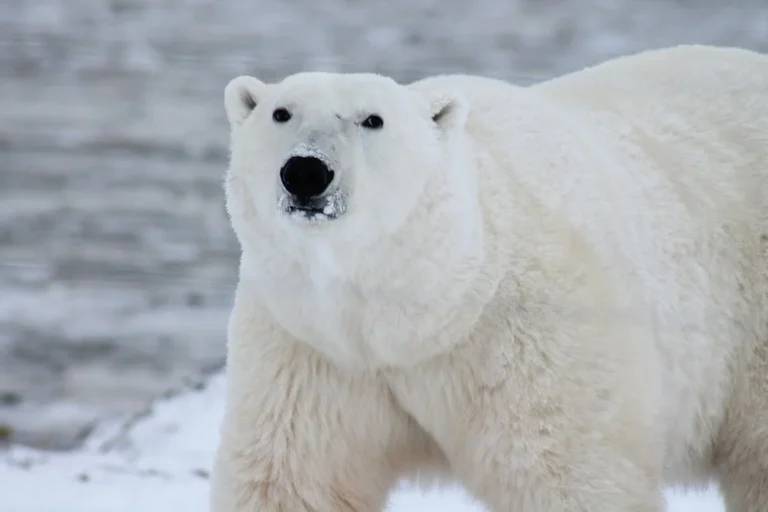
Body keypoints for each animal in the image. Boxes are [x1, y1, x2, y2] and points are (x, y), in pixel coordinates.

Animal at [211, 44, 768, 512]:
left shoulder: (530, 337)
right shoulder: (312, 348)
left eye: (373, 119)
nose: (306, 172)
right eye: (281, 113)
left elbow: (569, 474)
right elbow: (295, 478)